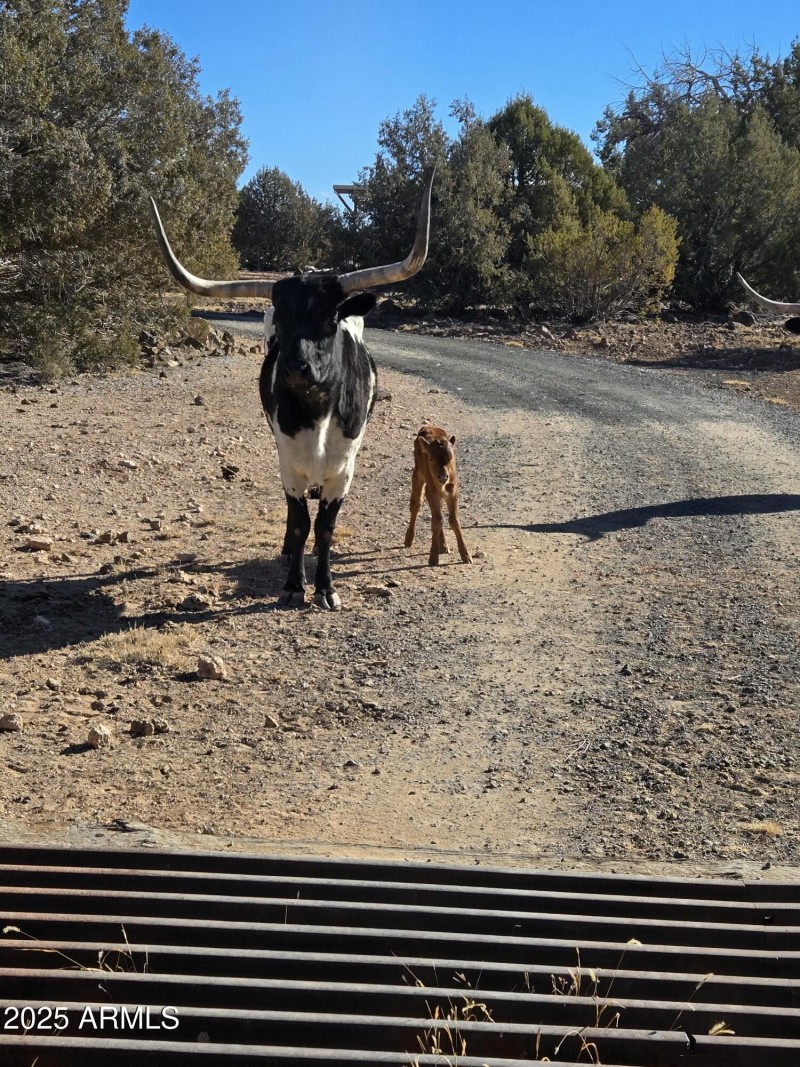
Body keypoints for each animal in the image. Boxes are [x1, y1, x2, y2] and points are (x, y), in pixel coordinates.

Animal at [150, 170, 435, 610]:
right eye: (281, 321)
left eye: (331, 319)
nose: (294, 368)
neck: (316, 412)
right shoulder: (288, 462)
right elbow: (301, 523)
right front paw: (293, 585)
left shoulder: (344, 469)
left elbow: (326, 527)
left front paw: (326, 587)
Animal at [404, 424, 472, 567]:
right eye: (430, 458)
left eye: (451, 458)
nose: (442, 476)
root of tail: (427, 426)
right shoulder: (432, 492)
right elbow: (436, 521)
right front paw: (433, 558)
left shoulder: (452, 491)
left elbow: (453, 520)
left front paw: (466, 556)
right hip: (417, 476)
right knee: (416, 505)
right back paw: (409, 539)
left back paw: (444, 546)